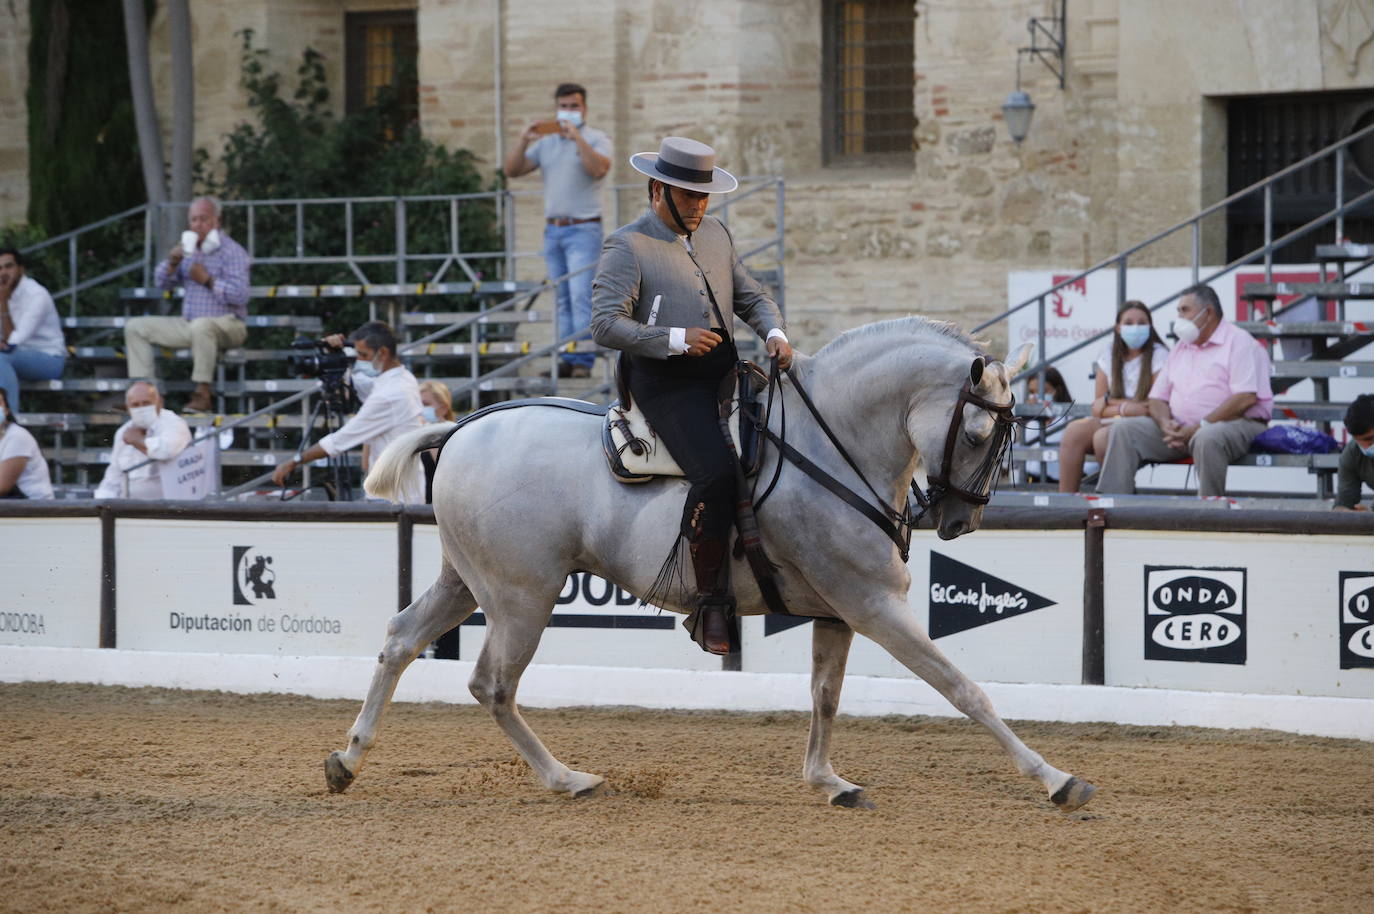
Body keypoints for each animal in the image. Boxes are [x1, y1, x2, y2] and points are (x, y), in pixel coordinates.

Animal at [329, 318, 1093, 813]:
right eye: (978, 432)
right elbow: (963, 689)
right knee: (492, 684)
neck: (834, 444)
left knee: (400, 640)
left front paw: (827, 781)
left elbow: (825, 696)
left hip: (467, 582)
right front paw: (1055, 778)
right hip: (522, 597)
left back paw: (347, 759)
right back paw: (568, 779)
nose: (964, 520)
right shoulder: (875, 605)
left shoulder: (837, 612)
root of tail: (462, 427)